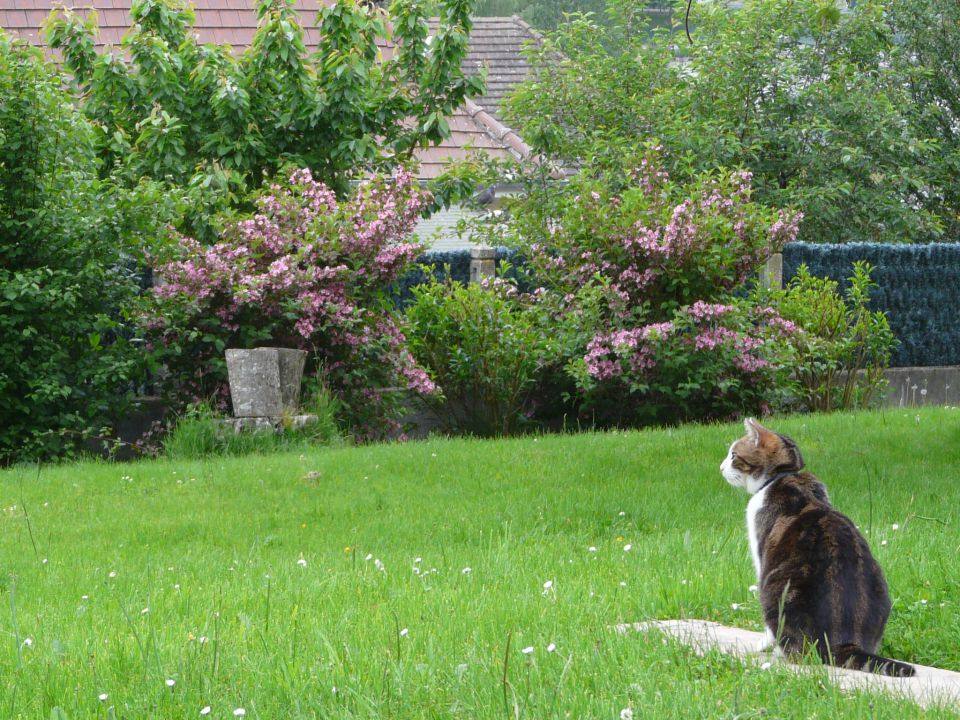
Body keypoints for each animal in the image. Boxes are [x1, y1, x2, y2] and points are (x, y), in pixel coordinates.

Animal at [720, 416, 916, 676]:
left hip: (775, 588)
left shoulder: (762, 558)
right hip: (880, 585)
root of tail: (845, 642)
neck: (780, 477)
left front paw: (763, 644)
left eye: (733, 455)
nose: (721, 467)